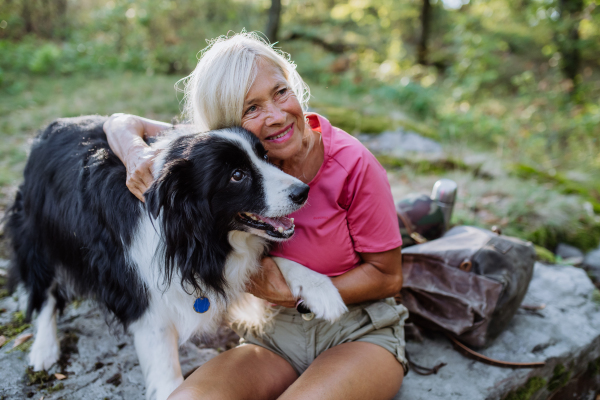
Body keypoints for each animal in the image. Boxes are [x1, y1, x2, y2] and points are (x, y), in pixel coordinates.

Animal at [7, 114, 346, 398]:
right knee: (43, 290)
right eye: (237, 175)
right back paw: (44, 349)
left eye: (265, 157)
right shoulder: (143, 294)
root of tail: (48, 129)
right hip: (39, 232)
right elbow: (163, 363)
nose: (303, 191)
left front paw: (322, 291)